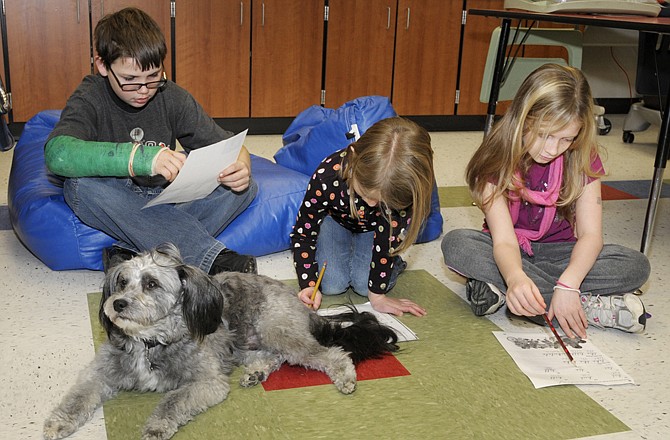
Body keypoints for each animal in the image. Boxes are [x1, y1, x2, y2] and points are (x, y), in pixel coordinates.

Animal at [43, 242, 400, 438]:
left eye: (151, 284)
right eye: (120, 282)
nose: (116, 304)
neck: (149, 343)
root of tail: (300, 301)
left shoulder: (207, 381)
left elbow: (172, 400)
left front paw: (157, 426)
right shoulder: (100, 372)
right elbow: (77, 397)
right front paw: (58, 423)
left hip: (278, 331)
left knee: (330, 353)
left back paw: (344, 376)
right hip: (241, 344)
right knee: (273, 357)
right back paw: (257, 372)